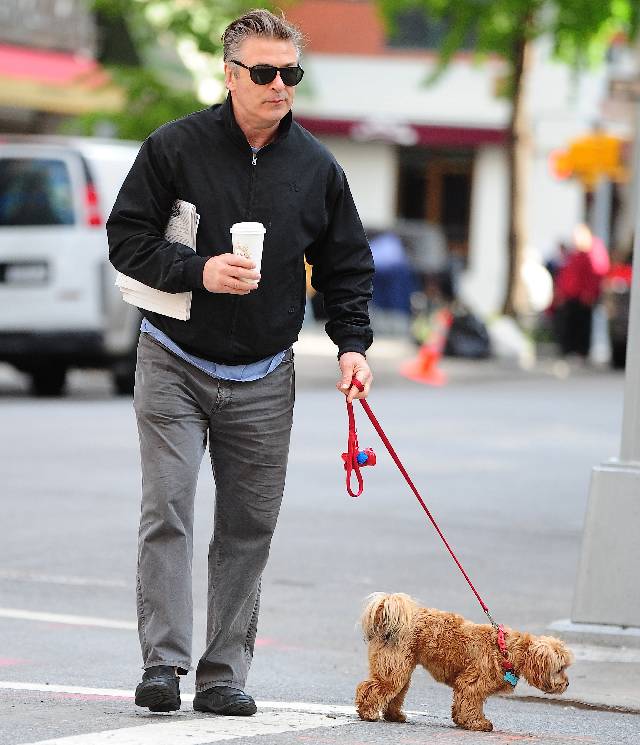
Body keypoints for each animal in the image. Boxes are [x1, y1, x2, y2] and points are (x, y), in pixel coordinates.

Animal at [356, 592, 576, 732]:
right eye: (560, 668)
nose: (567, 684)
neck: (505, 649)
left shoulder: (466, 686)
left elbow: (461, 705)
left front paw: (462, 721)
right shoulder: (472, 684)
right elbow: (471, 705)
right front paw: (478, 724)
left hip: (400, 670)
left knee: (395, 694)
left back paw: (394, 716)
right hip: (393, 670)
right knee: (371, 688)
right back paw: (367, 712)